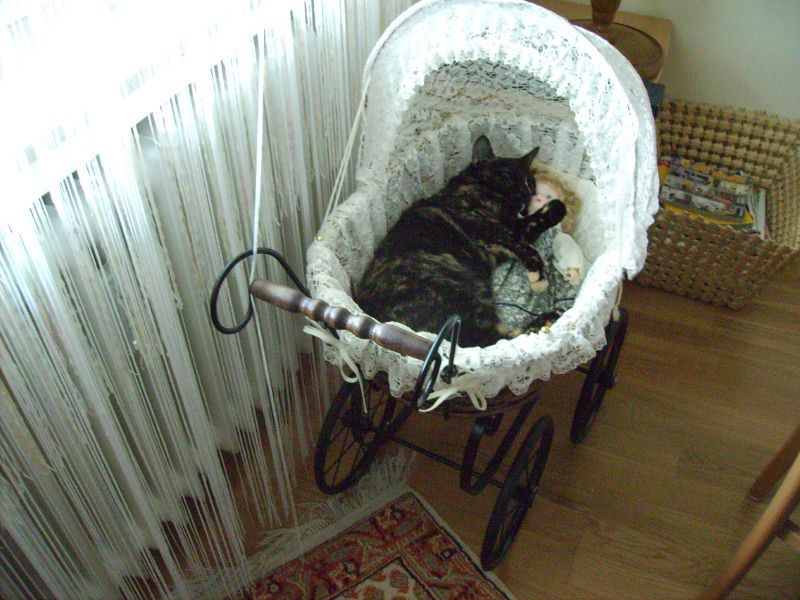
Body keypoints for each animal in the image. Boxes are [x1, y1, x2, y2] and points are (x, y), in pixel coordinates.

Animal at [354, 136, 566, 348]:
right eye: (507, 177)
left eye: (529, 184)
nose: (525, 196)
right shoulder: (485, 226)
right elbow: (524, 246)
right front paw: (539, 277)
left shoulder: (507, 233)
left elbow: (552, 212)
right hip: (455, 298)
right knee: (489, 340)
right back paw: (547, 318)